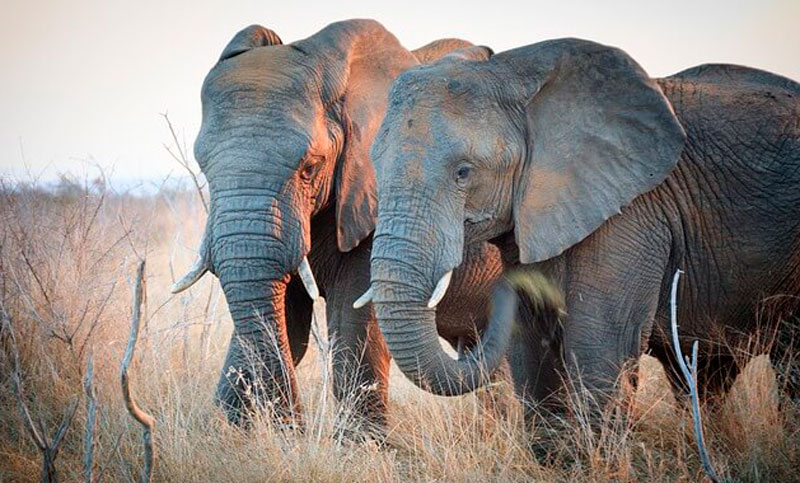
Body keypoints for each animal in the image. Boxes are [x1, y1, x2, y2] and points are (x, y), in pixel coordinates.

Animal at [170, 19, 505, 428]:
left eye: (310, 167)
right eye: (203, 168)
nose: (294, 427)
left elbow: (353, 320)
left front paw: (365, 444)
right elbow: (287, 319)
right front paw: (227, 431)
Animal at [361, 37, 800, 418]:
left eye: (463, 172)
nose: (501, 289)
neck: (512, 72)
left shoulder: (633, 214)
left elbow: (600, 350)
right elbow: (533, 351)